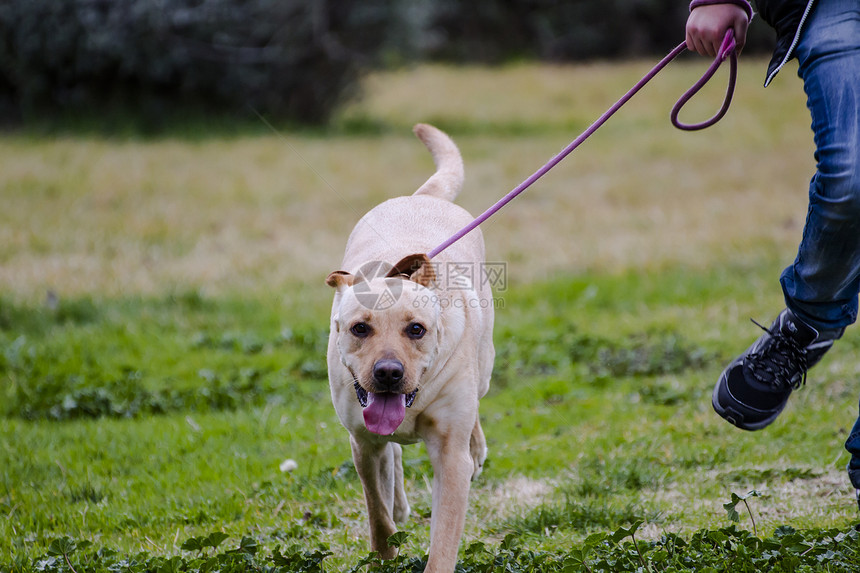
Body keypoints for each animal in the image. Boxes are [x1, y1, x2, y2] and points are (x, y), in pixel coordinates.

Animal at [326, 123, 494, 568]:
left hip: (484, 364)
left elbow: (444, 539)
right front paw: (385, 551)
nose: (388, 373)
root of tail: (422, 197)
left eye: (416, 330)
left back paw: (477, 445)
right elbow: (377, 513)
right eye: (360, 328)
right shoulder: (362, 442)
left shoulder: (449, 457)